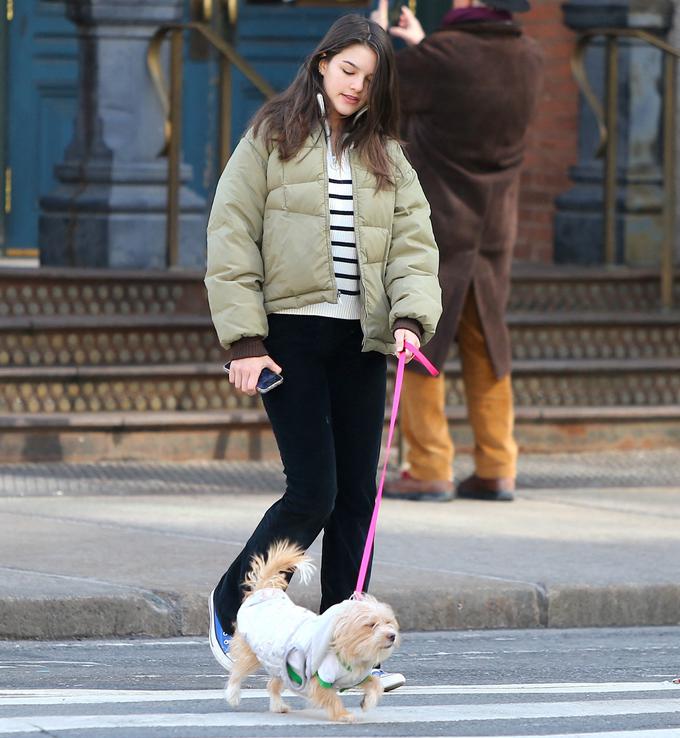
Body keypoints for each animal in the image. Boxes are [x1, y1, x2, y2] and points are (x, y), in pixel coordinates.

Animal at [226, 536, 402, 720]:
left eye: (388, 622)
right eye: (371, 625)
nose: (392, 636)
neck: (349, 651)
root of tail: (265, 593)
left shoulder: (355, 677)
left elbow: (375, 683)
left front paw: (368, 701)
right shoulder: (319, 679)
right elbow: (331, 698)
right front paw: (342, 715)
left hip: (281, 665)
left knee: (272, 684)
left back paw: (278, 705)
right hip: (252, 654)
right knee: (237, 672)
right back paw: (232, 695)